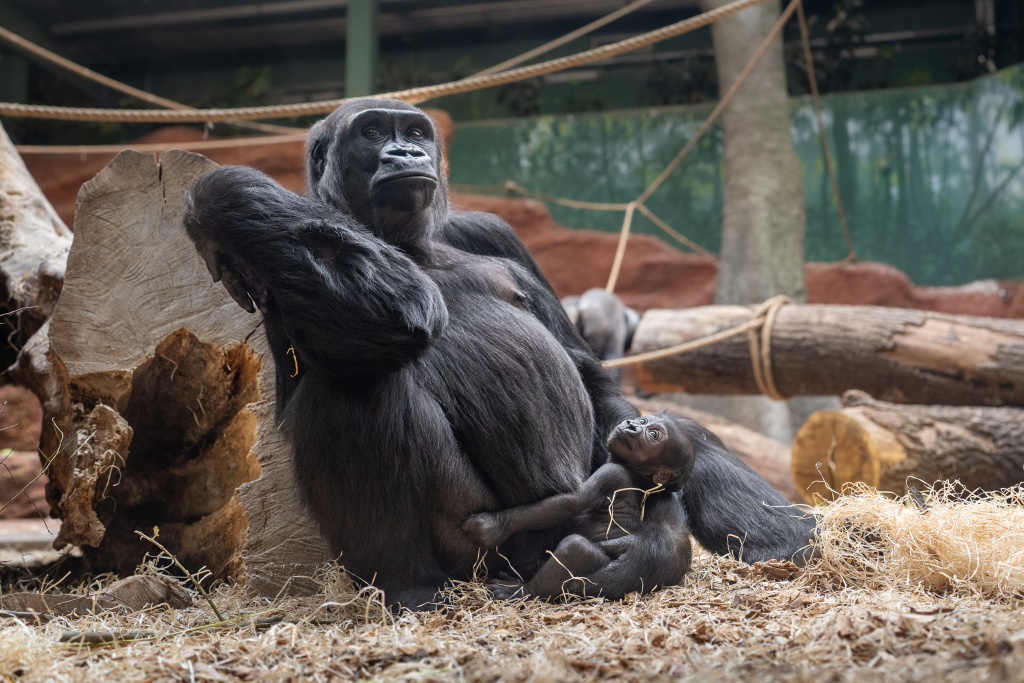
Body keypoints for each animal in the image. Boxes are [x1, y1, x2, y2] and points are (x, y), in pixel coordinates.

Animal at [464, 413, 696, 602]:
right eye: (643, 421)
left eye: (653, 435)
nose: (631, 426)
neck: (637, 474)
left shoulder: (612, 474)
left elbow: (572, 502)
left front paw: (495, 525)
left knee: (577, 549)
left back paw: (523, 591)